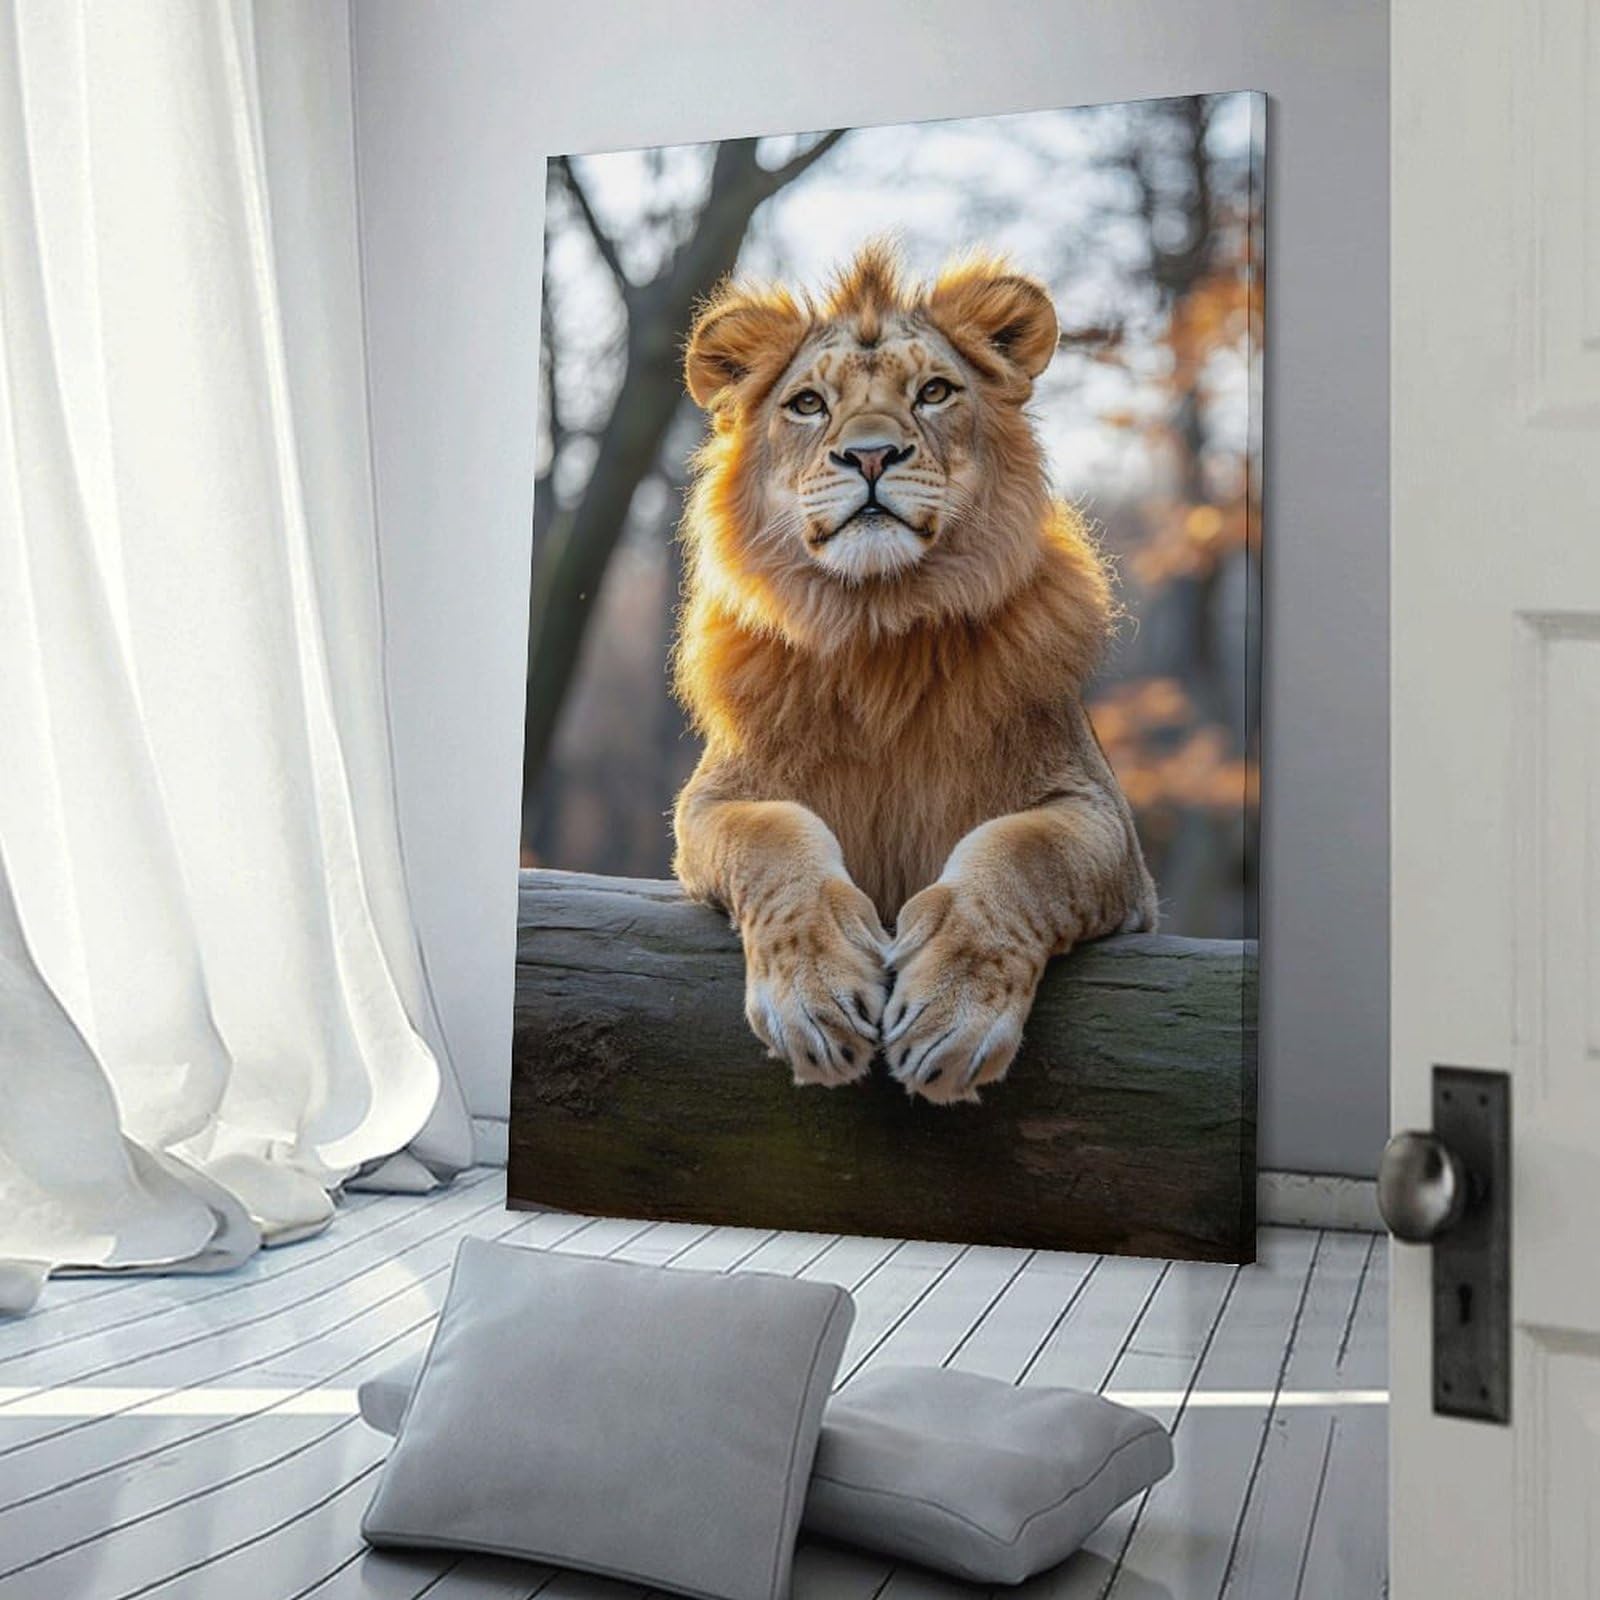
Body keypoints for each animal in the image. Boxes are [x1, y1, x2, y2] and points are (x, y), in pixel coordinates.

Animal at [670, 241, 1156, 1105]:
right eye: (806, 404)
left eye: (933, 392)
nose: (871, 453)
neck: (880, 630)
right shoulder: (713, 803)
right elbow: (775, 837)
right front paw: (815, 1000)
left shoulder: (1103, 824)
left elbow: (1020, 854)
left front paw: (951, 1016)